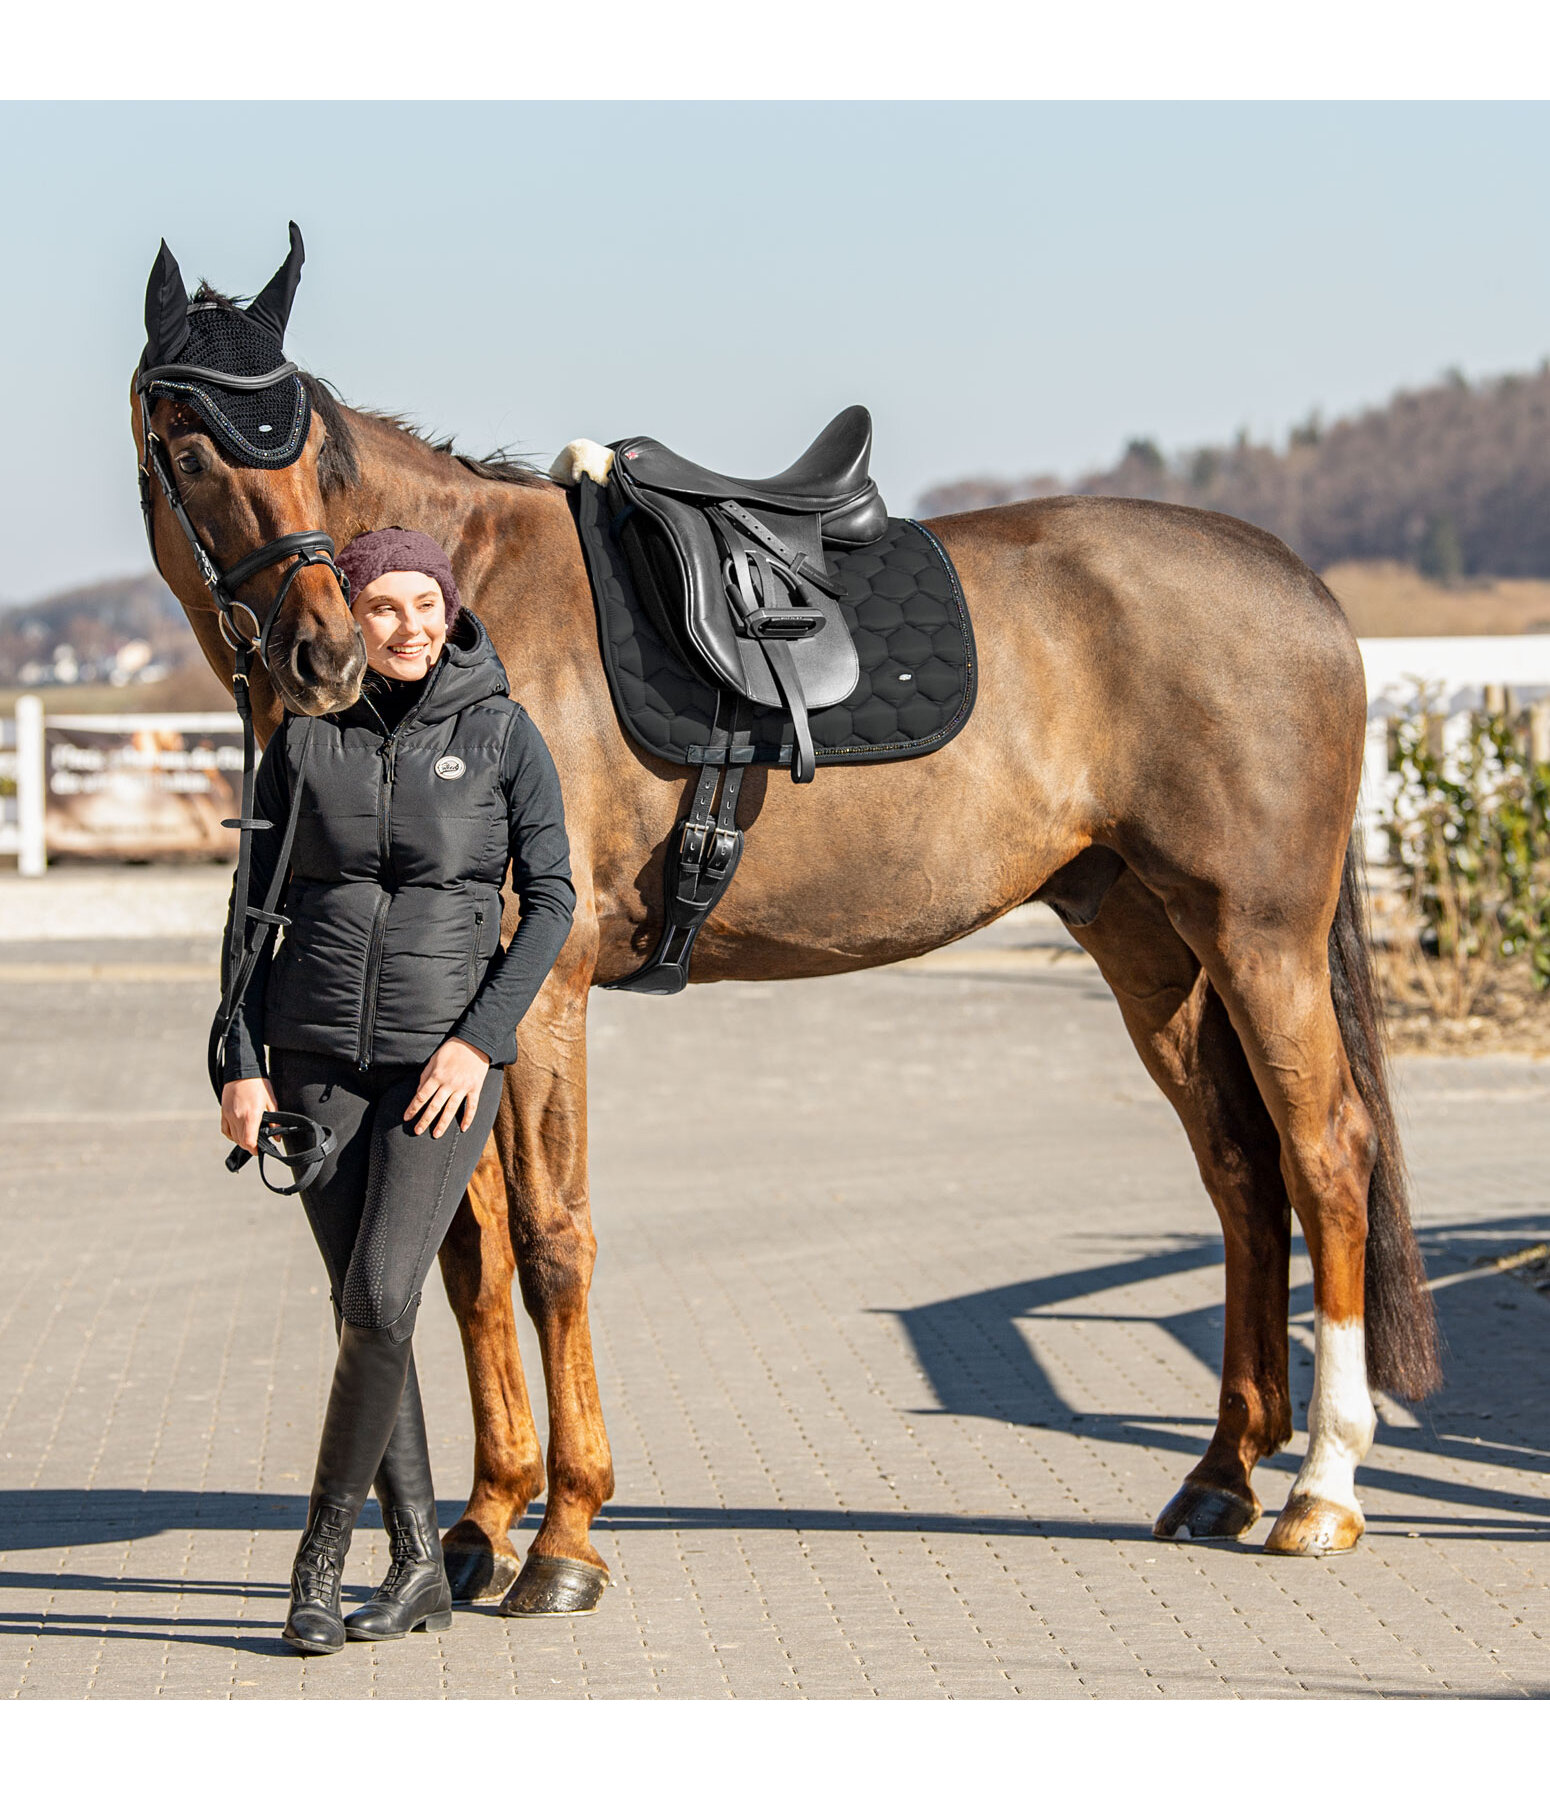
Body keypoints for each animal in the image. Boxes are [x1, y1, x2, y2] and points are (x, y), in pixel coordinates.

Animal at [129, 228, 1440, 1620]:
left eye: (307, 447)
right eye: (198, 450)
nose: (326, 653)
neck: (460, 644)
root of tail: (1298, 584)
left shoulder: (537, 996)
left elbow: (547, 1243)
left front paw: (565, 1534)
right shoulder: (455, 1031)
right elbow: (465, 1254)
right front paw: (484, 1523)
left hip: (1258, 935)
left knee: (1326, 1154)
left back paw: (1321, 1489)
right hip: (1149, 944)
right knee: (1242, 1172)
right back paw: (1221, 1474)